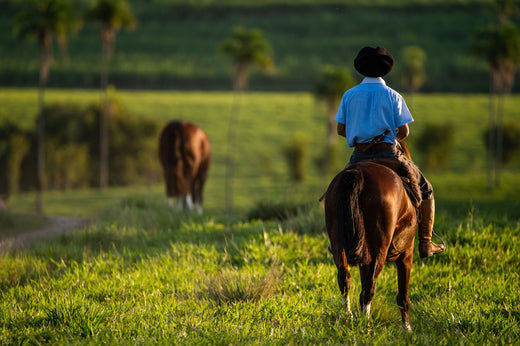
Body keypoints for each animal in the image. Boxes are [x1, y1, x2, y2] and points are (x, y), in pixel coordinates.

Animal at [324, 142, 418, 332]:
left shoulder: (363, 258)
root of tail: (359, 171)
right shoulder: (407, 254)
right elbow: (403, 295)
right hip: (380, 247)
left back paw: (349, 316)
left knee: (344, 278)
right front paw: (407, 328)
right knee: (370, 285)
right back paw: (365, 322)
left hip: (338, 241)